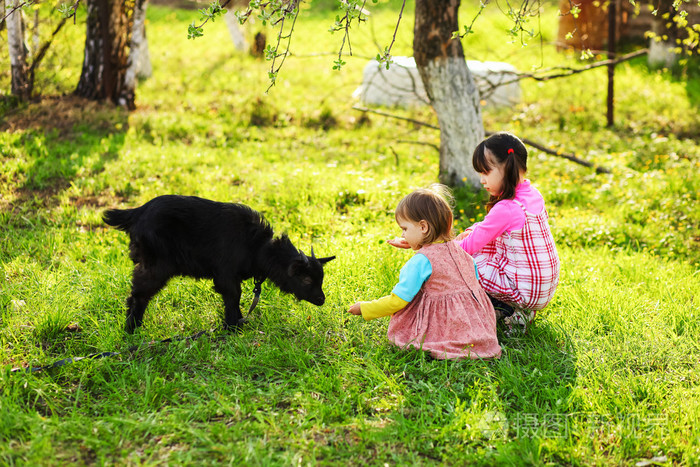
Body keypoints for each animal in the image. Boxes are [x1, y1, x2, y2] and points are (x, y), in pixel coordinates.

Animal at [102, 196, 334, 334]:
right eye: (306, 279)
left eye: (321, 279)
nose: (322, 300)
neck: (258, 247)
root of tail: (136, 212)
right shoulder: (225, 275)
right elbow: (233, 297)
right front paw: (232, 327)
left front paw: (239, 322)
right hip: (156, 265)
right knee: (138, 295)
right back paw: (132, 329)